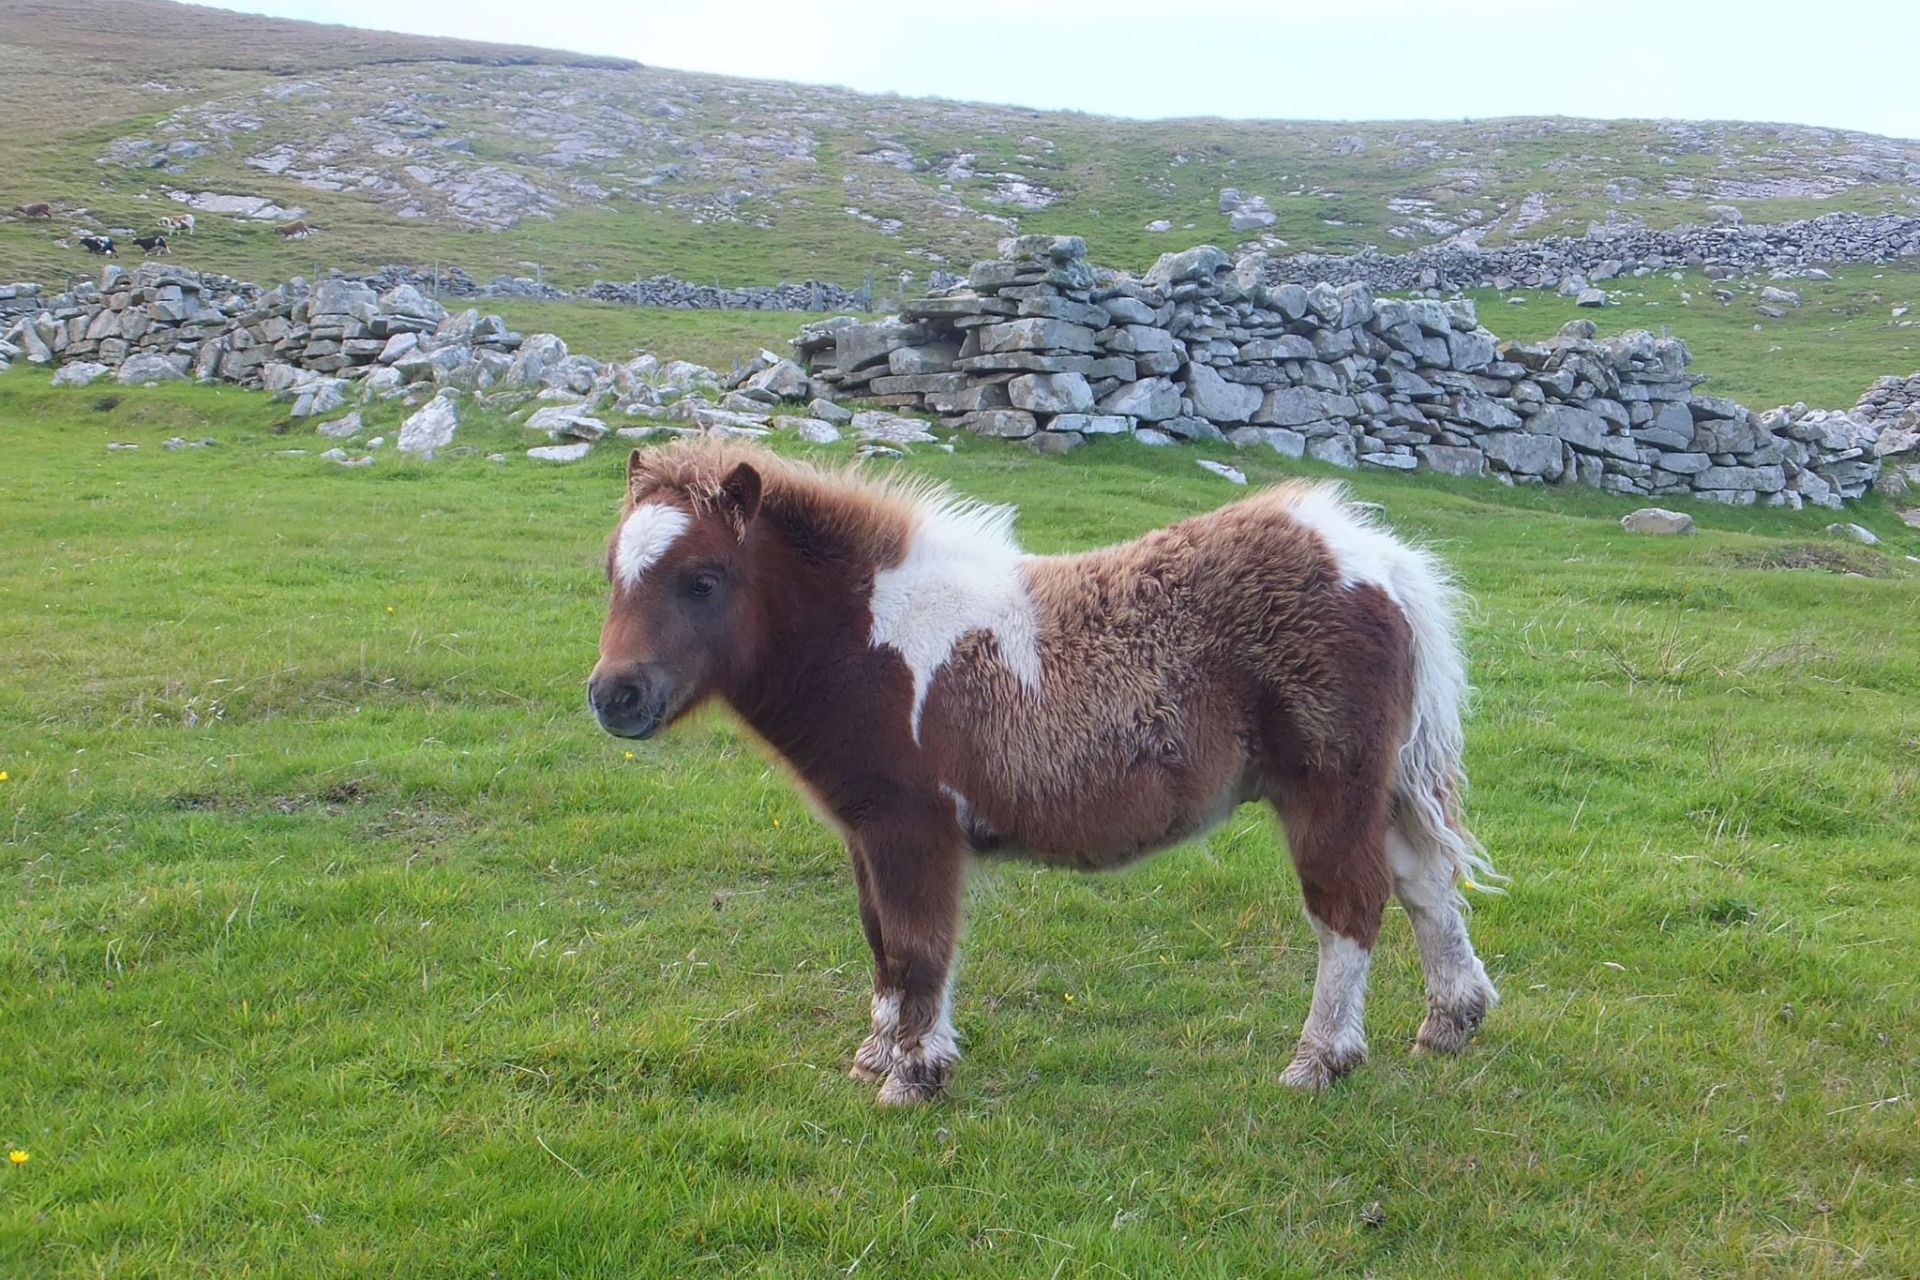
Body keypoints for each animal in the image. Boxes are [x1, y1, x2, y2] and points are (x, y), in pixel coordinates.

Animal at [587, 441, 1497, 1105]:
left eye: (703, 581)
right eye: (610, 573)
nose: (612, 696)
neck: (875, 643)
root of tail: (1376, 557)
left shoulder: (914, 829)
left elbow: (919, 947)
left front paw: (914, 1076)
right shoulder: (863, 832)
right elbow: (880, 943)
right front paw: (877, 1054)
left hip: (1327, 789)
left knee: (1351, 906)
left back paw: (1320, 1060)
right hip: (1377, 788)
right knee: (1424, 885)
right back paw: (1452, 1021)